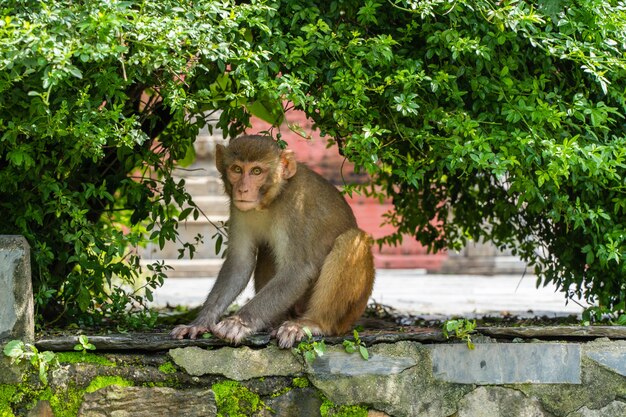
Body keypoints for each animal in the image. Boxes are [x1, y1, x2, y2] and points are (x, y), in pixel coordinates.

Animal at [171, 134, 372, 348]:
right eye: (237, 169)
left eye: (256, 171)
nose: (242, 190)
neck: (271, 200)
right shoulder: (238, 209)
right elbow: (240, 263)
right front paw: (200, 322)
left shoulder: (295, 207)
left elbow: (298, 270)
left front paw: (239, 322)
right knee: (267, 249)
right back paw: (274, 322)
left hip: (350, 313)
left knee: (351, 240)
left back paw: (312, 323)